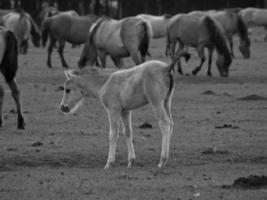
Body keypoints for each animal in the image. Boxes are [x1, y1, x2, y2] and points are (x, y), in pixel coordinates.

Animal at [61, 50, 191, 169]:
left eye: (67, 90)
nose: (62, 107)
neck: (105, 83)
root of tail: (166, 67)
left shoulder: (113, 110)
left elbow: (113, 134)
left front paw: (109, 163)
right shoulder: (125, 111)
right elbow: (128, 132)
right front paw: (130, 161)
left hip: (156, 102)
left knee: (165, 123)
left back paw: (162, 160)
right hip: (166, 102)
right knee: (171, 124)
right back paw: (165, 159)